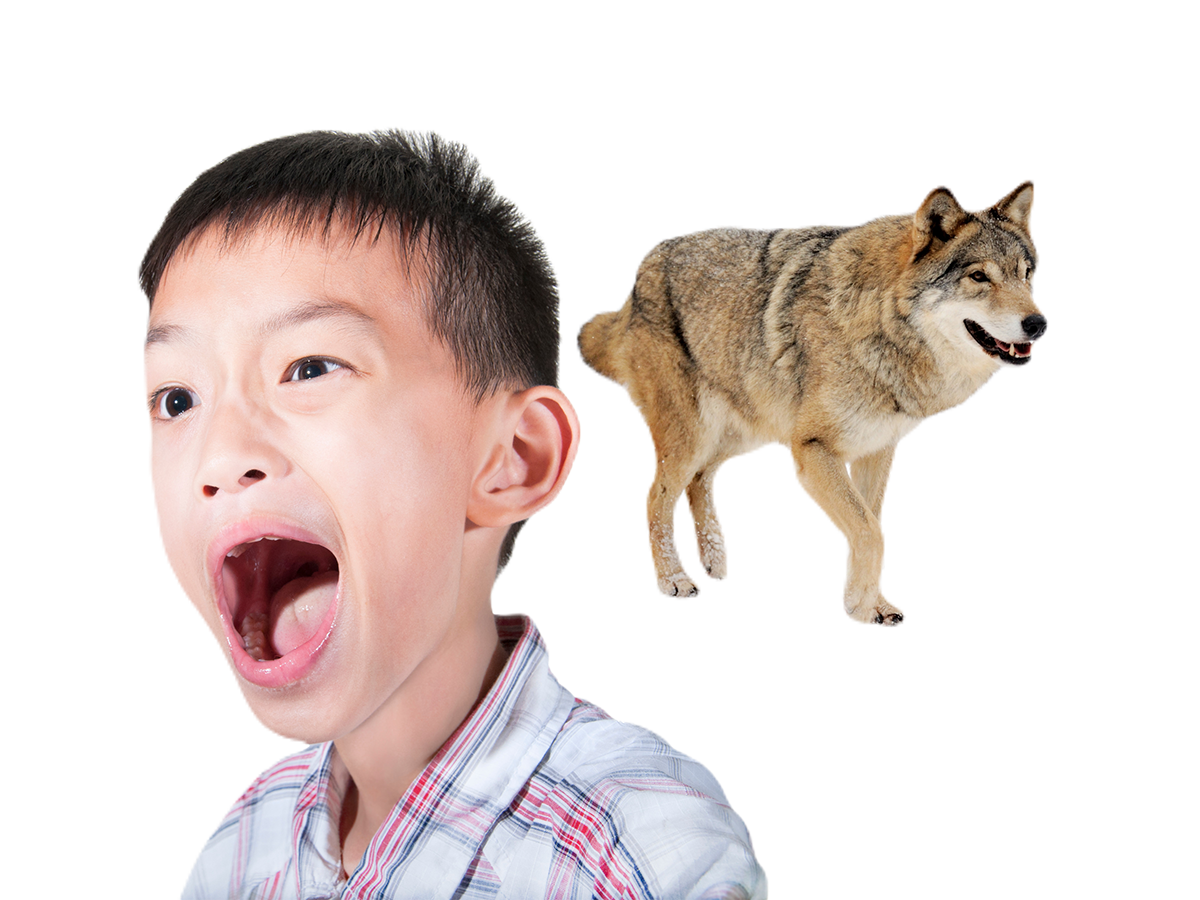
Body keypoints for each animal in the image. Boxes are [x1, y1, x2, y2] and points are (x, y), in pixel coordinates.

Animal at [576, 180, 1046, 627]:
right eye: (979, 277)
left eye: (1026, 275)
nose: (1039, 323)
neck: (879, 322)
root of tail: (640, 271)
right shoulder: (813, 450)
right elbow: (871, 532)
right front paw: (864, 609)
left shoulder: (878, 449)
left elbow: (872, 523)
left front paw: (867, 604)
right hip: (693, 437)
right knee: (656, 497)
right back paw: (675, 579)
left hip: (742, 432)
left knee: (699, 485)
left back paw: (717, 562)